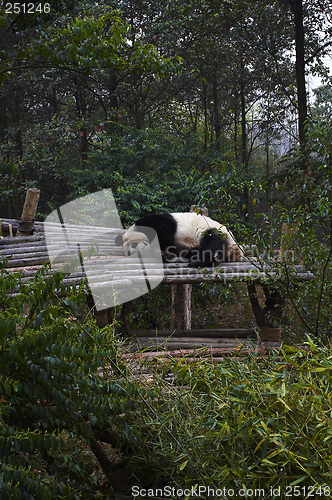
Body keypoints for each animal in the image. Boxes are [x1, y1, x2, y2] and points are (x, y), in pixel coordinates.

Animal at [115, 211, 244, 266]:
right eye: (131, 254)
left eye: (134, 245)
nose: (141, 251)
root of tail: (236, 249)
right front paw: (164, 254)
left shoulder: (155, 222)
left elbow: (164, 233)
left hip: (217, 232)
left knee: (211, 242)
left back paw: (198, 262)